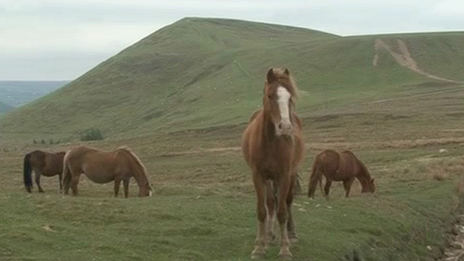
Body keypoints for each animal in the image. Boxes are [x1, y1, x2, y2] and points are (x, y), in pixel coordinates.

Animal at [243, 67, 304, 258]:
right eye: (270, 95)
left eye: (290, 97)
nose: (285, 127)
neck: (269, 141)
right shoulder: (257, 176)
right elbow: (262, 210)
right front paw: (259, 246)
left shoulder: (284, 176)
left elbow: (282, 212)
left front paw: (285, 249)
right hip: (269, 179)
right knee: (271, 203)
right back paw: (270, 235)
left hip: (290, 175)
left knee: (287, 202)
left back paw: (291, 234)